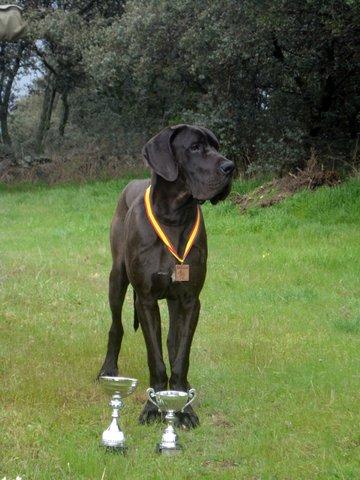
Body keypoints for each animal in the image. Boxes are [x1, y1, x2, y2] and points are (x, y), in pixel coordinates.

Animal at [98, 124, 235, 428]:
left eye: (217, 146)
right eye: (194, 147)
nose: (230, 166)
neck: (174, 217)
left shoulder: (190, 300)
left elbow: (181, 356)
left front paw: (183, 406)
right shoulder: (146, 299)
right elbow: (155, 359)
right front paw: (152, 407)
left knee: (173, 342)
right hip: (117, 278)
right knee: (116, 326)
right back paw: (108, 368)